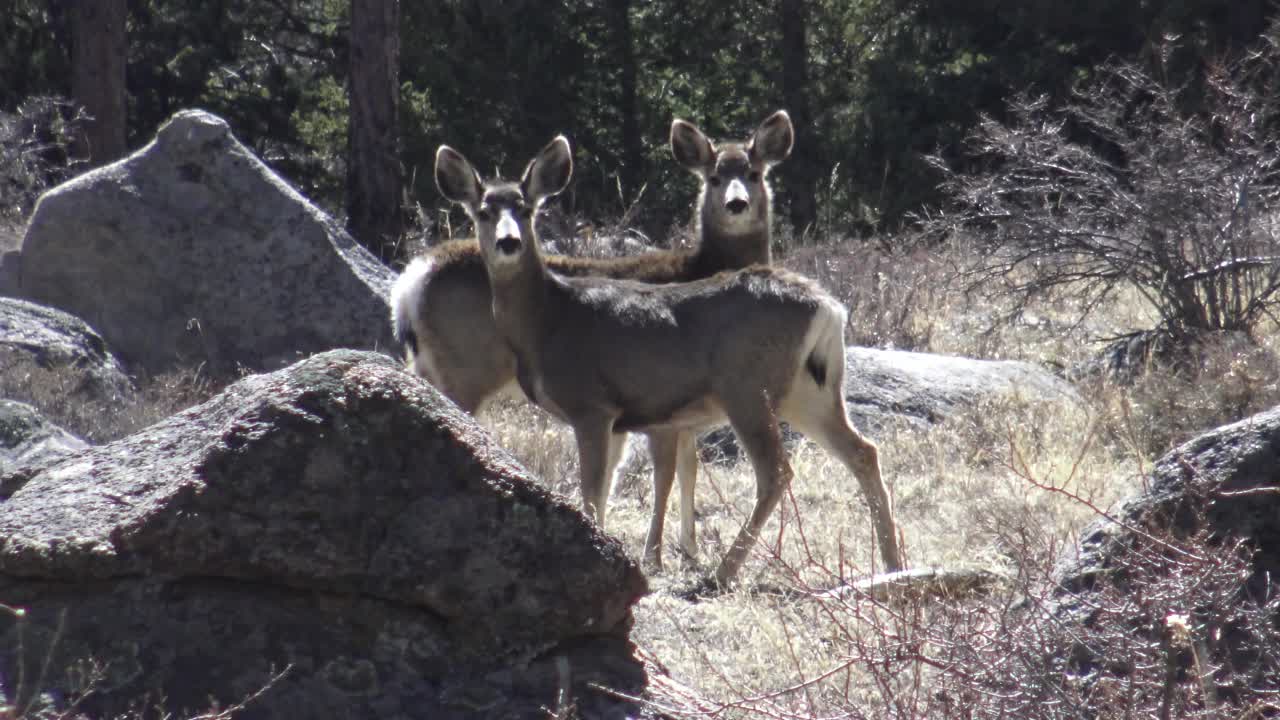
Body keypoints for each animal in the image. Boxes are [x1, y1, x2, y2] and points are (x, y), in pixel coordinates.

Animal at [394, 109, 798, 568]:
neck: (701, 266)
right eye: (713, 177)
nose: (737, 204)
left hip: (428, 365)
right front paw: (657, 555)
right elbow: (666, 471)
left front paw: (688, 550)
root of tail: (409, 282)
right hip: (466, 370)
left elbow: (683, 468)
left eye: (754, 173)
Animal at [435, 134, 906, 589]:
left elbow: (592, 489)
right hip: (809, 391)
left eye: (527, 209)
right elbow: (612, 486)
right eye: (482, 212)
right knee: (864, 452)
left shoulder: (592, 405)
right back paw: (892, 563)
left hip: (747, 387)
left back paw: (723, 572)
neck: (548, 319)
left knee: (776, 470)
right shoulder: (630, 419)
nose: (508, 242)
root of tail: (829, 307)